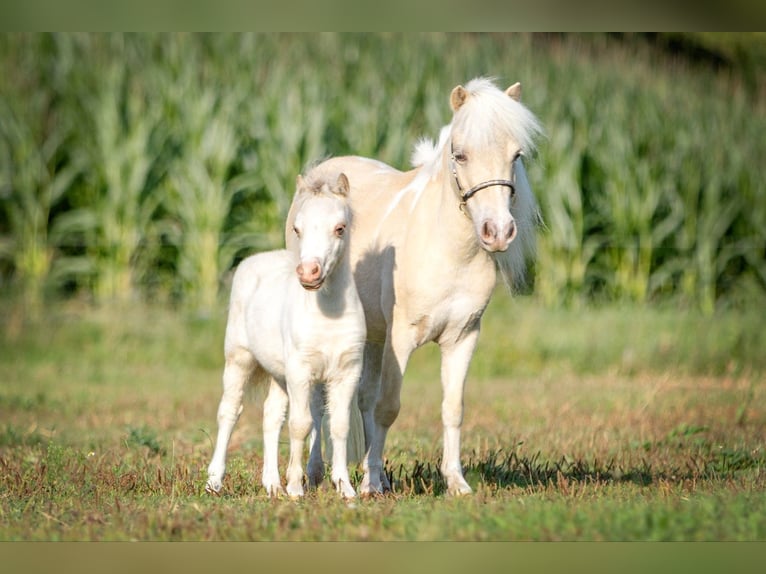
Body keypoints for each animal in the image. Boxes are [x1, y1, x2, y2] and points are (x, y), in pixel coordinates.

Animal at [207, 171, 366, 499]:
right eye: (297, 228)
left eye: (340, 228)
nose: (308, 273)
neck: (328, 314)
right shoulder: (300, 371)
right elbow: (301, 424)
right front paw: (295, 487)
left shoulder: (347, 372)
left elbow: (339, 425)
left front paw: (344, 488)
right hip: (240, 358)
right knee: (229, 411)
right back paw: (214, 481)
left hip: (278, 374)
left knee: (270, 416)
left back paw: (271, 484)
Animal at [285, 77, 544, 495]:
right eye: (460, 155)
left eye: (516, 155)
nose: (499, 231)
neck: (448, 251)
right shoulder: (400, 338)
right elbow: (388, 407)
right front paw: (371, 483)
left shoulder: (463, 338)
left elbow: (452, 408)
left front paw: (455, 482)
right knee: (320, 402)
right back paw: (315, 472)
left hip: (371, 336)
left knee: (361, 398)